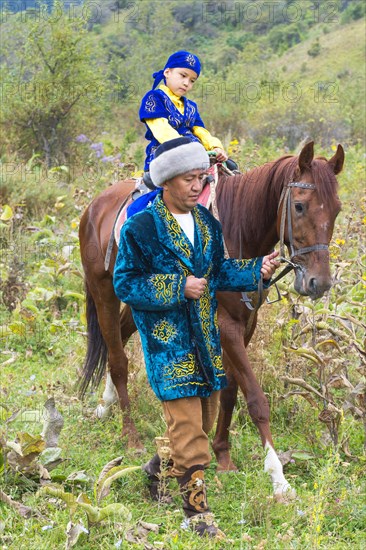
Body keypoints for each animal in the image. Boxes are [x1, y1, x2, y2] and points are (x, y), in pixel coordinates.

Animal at [78, 142, 344, 500]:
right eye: (299, 206)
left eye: (337, 209)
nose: (320, 283)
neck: (239, 230)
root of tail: (95, 205)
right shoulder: (225, 325)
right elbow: (255, 398)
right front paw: (278, 477)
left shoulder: (245, 325)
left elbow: (229, 390)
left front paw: (222, 455)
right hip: (104, 289)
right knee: (118, 359)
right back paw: (130, 436)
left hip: (145, 300)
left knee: (116, 339)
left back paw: (105, 406)